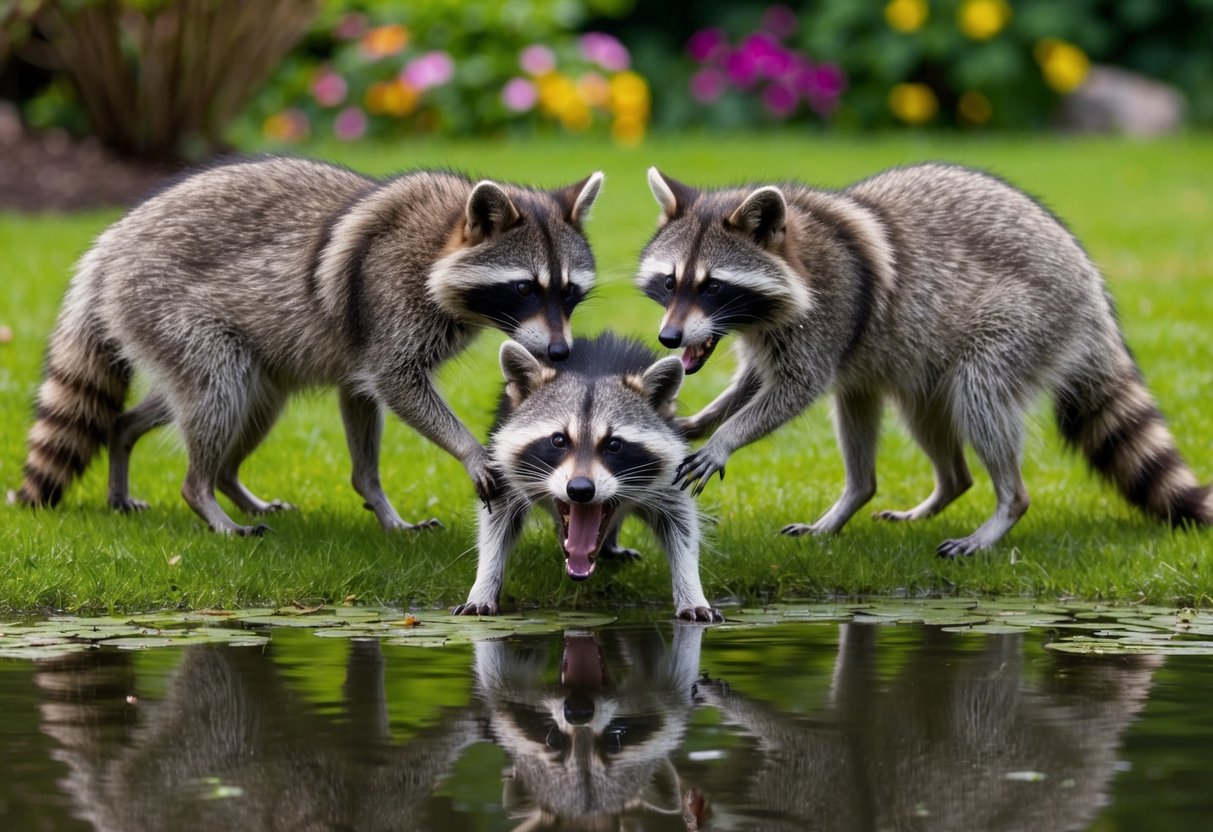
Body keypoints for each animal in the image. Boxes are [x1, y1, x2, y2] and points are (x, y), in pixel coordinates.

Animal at [10, 156, 603, 535]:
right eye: (525, 289)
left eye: (570, 293)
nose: (559, 354)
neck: (443, 236)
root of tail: (107, 248)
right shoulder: (388, 302)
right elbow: (398, 385)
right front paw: (468, 448)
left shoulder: (358, 355)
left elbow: (363, 409)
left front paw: (382, 506)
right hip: (168, 308)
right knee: (217, 392)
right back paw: (205, 496)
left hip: (240, 354)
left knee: (215, 403)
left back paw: (176, 459)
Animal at [455, 332, 722, 621]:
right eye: (558, 440)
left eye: (614, 445)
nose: (580, 489)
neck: (593, 371)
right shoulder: (500, 466)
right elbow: (497, 521)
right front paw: (485, 582)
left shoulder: (670, 475)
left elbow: (681, 525)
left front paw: (690, 587)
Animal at [638, 164, 1211, 556]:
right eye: (670, 282)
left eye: (713, 287)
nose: (669, 337)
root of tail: (1093, 293)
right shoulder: (764, 335)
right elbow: (754, 381)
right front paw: (706, 416)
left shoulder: (832, 310)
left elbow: (793, 390)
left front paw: (726, 438)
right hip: (914, 366)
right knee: (883, 412)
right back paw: (872, 497)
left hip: (1024, 321)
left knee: (982, 396)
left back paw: (1006, 505)